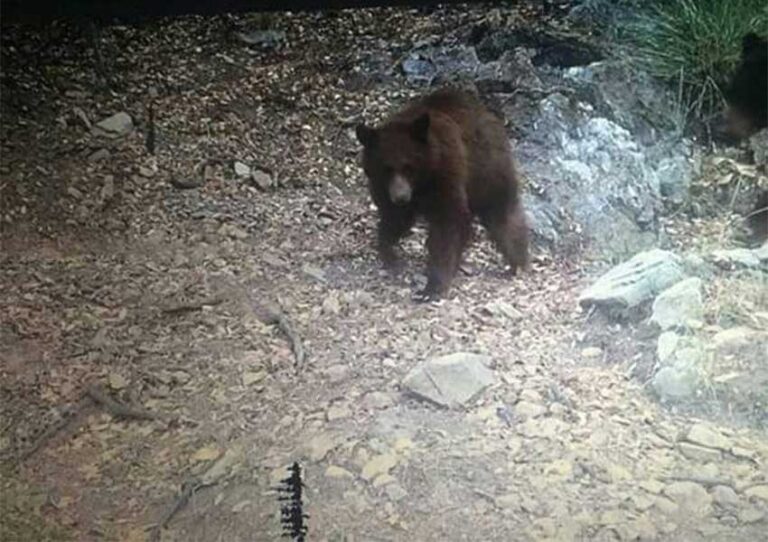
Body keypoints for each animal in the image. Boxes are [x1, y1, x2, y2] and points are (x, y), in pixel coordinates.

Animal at [355, 87, 529, 301]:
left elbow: (448, 222)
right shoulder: (384, 189)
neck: (422, 181)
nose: (400, 197)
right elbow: (393, 219)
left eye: (408, 167)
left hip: (487, 168)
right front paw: (389, 254)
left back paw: (518, 260)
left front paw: (433, 285)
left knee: (501, 212)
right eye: (386, 168)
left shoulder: (446, 175)